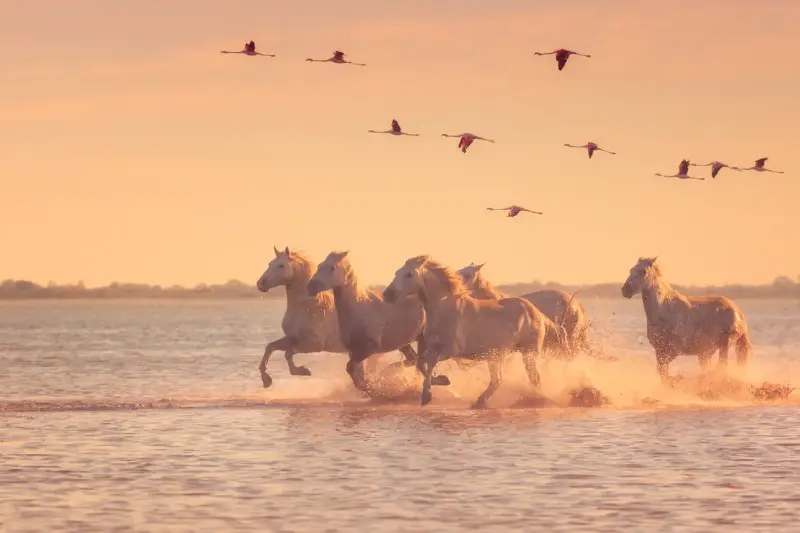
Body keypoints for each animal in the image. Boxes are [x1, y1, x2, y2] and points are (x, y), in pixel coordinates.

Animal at [255, 247, 346, 388]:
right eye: (270, 264)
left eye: (281, 265)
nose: (260, 284)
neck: (309, 307)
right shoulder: (292, 338)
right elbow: (270, 347)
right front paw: (266, 380)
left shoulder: (313, 345)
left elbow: (288, 353)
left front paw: (303, 371)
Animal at [306, 251, 450, 394]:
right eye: (320, 265)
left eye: (332, 267)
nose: (311, 286)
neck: (359, 307)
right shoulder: (353, 351)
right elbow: (356, 373)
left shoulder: (368, 348)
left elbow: (351, 369)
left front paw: (373, 389)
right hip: (405, 343)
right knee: (415, 360)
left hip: (422, 338)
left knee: (420, 362)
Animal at [384, 256, 546, 408]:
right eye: (397, 272)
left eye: (409, 274)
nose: (387, 295)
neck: (442, 307)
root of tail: (536, 311)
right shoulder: (430, 347)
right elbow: (420, 363)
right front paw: (442, 380)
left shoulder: (450, 350)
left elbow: (428, 363)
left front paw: (427, 395)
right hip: (495, 356)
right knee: (499, 380)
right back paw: (480, 402)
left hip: (527, 353)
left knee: (533, 379)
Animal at [621, 256, 751, 382]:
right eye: (630, 270)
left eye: (643, 272)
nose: (625, 291)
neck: (664, 310)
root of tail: (738, 313)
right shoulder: (659, 351)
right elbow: (662, 374)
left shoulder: (672, 351)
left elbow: (664, 373)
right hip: (707, 352)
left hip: (724, 344)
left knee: (721, 366)